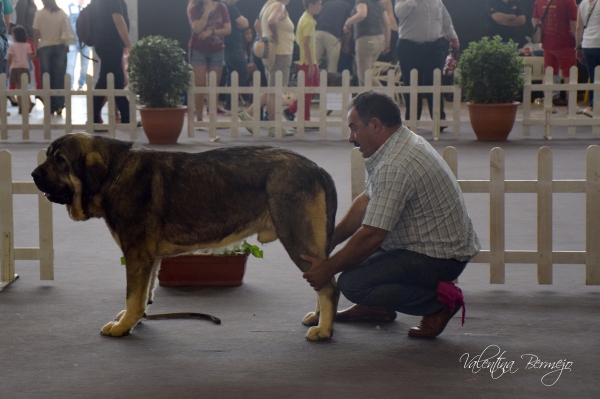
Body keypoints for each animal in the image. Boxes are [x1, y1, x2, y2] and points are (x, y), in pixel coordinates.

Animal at [32, 134, 340, 340]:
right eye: (47, 155)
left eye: (60, 160)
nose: (34, 174)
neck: (113, 174)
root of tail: (317, 169)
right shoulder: (149, 257)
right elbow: (144, 294)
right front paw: (135, 319)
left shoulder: (136, 254)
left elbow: (133, 294)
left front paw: (123, 326)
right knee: (321, 279)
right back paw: (318, 319)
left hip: (297, 239)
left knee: (328, 287)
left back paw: (324, 330)